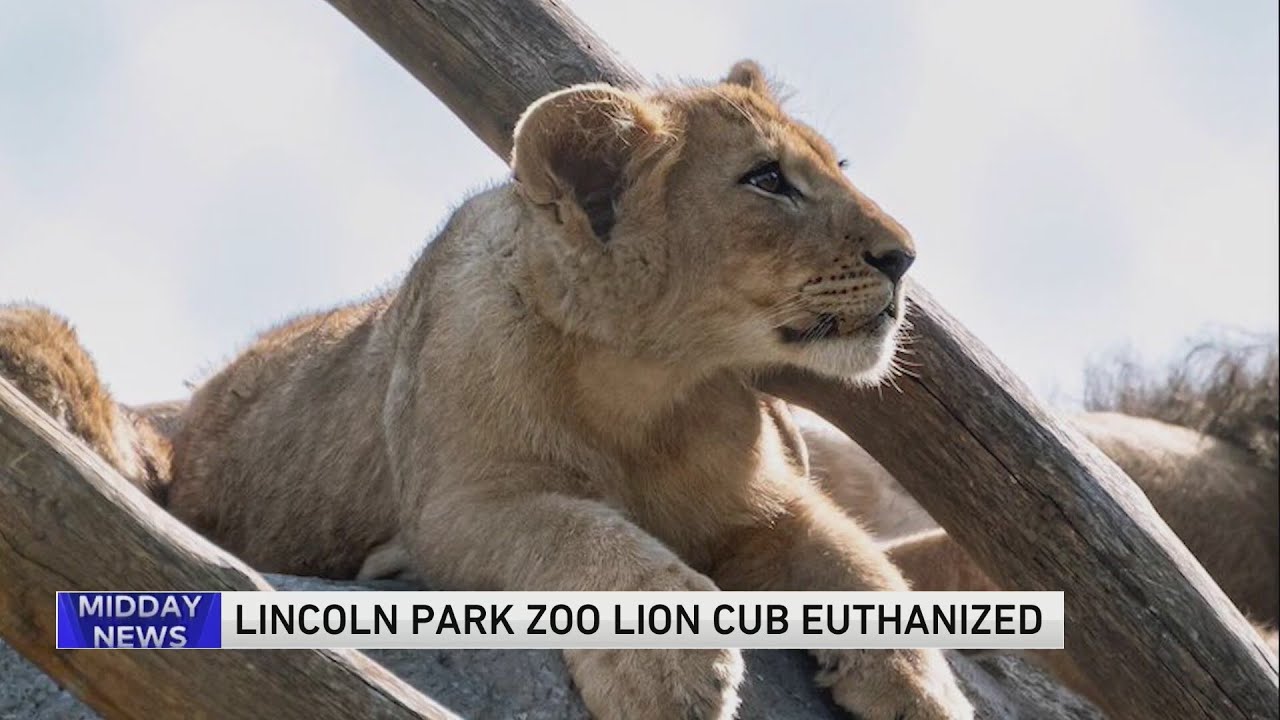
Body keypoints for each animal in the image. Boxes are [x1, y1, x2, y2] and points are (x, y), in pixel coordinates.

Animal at [0, 63, 976, 719]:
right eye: (767, 180)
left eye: (835, 166)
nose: (905, 257)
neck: (651, 384)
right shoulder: (464, 504)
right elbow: (580, 531)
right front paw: (672, 667)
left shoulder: (770, 503)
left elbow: (856, 559)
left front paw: (922, 688)